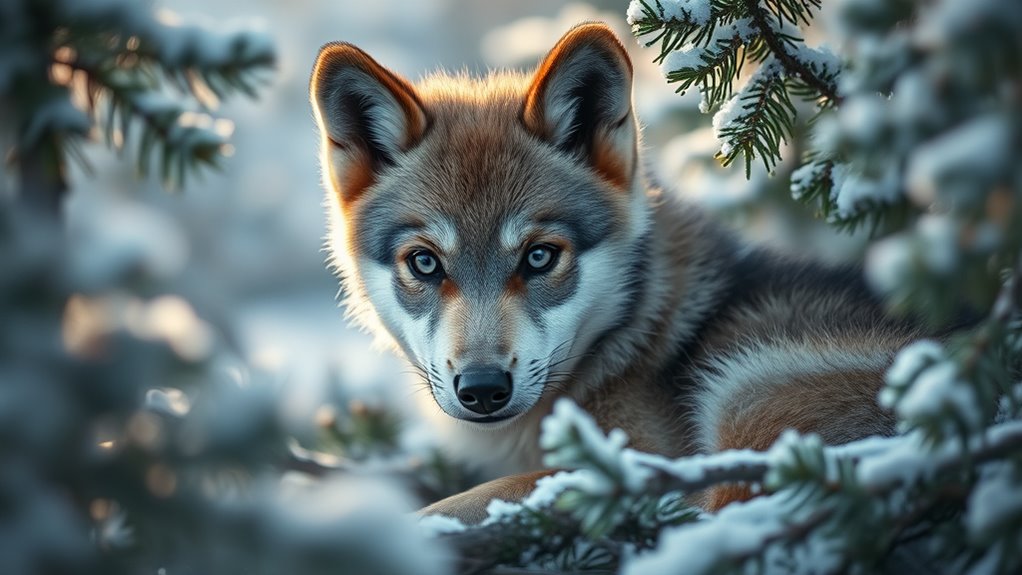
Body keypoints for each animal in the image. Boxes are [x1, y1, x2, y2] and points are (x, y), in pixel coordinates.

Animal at [309, 22, 919, 522]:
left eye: (539, 256)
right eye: (425, 262)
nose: (482, 390)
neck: (634, 337)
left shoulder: (641, 456)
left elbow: (464, 503)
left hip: (744, 396)